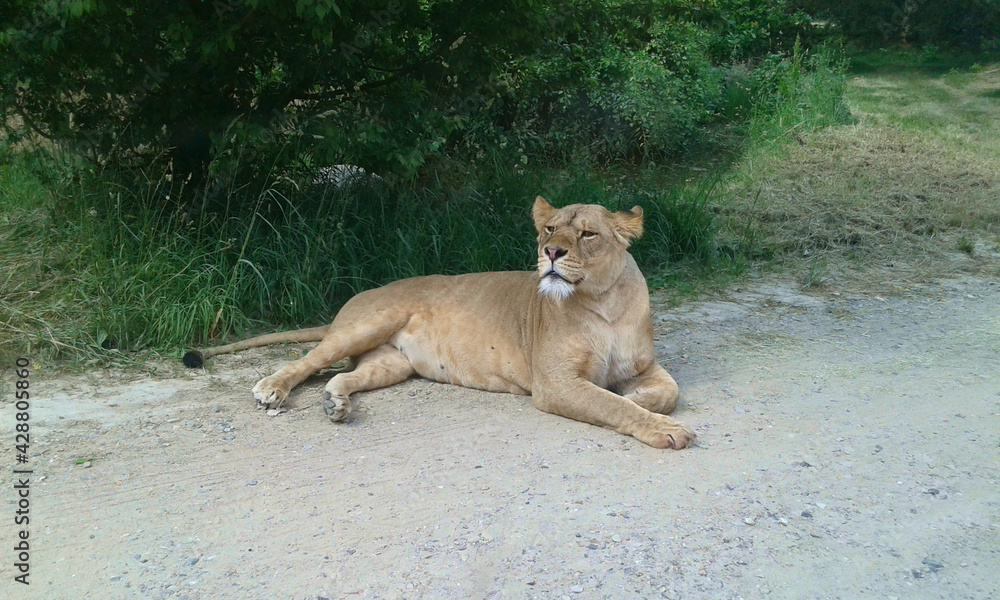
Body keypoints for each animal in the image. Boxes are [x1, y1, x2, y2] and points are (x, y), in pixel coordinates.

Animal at [183, 196, 695, 449]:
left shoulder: (643, 365)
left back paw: (335, 404)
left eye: (587, 234)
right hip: (368, 323)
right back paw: (271, 388)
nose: (551, 251)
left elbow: (666, 392)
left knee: (344, 375)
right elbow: (612, 405)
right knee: (308, 361)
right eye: (550, 230)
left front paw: (640, 398)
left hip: (393, 363)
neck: (603, 302)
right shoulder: (554, 383)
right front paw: (662, 427)